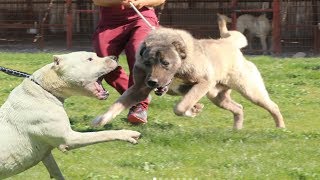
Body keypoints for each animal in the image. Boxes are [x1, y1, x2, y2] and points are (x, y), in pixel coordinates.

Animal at [0, 51, 140, 179]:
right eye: (90, 59)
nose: (114, 57)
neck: (45, 88)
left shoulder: (46, 153)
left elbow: (55, 170)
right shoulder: (69, 138)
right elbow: (103, 134)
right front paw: (128, 134)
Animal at [93, 27, 284, 129]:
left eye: (165, 63)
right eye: (148, 63)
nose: (152, 82)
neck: (179, 67)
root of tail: (229, 43)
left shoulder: (203, 82)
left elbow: (180, 106)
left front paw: (192, 110)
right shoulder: (138, 90)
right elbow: (117, 105)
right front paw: (99, 120)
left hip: (249, 90)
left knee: (273, 106)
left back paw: (280, 127)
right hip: (217, 96)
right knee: (239, 108)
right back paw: (236, 130)